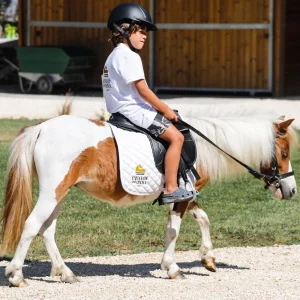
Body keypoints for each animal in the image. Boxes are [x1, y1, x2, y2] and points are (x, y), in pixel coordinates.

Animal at [0, 109, 296, 288]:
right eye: (283, 153)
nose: (291, 190)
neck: (201, 146)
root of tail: (41, 128)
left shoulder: (186, 193)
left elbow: (203, 218)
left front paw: (208, 258)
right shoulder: (180, 197)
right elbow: (174, 231)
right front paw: (172, 267)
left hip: (59, 193)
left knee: (47, 230)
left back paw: (66, 272)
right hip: (53, 192)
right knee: (31, 226)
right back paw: (16, 275)